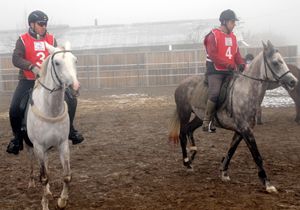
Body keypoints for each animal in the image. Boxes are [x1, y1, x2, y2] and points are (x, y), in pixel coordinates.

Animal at [25, 41, 79, 210]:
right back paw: (31, 183)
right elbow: (43, 177)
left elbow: (66, 176)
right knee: (32, 163)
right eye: (57, 63)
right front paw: (45, 202)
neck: (51, 111)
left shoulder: (63, 144)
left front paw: (62, 200)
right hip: (31, 146)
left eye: (75, 60)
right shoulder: (38, 146)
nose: (75, 87)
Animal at [169, 40, 298, 193]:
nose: (293, 81)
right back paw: (187, 162)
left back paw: (192, 154)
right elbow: (257, 155)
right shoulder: (246, 130)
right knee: (182, 133)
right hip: (184, 112)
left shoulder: (240, 130)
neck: (246, 91)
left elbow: (231, 149)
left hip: (199, 118)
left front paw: (224, 172)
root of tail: (181, 84)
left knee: (189, 129)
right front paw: (267, 183)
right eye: (276, 62)